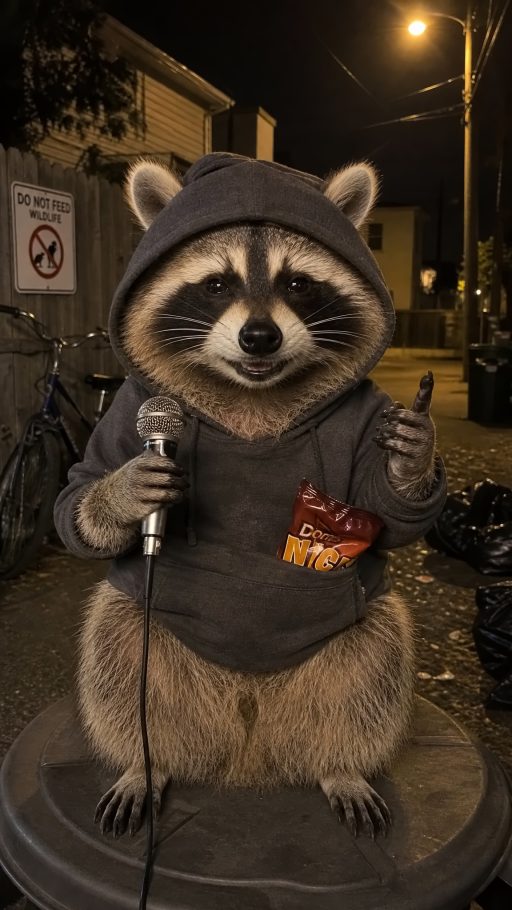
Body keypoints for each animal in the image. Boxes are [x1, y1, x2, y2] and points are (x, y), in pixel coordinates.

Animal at [54, 154, 446, 840]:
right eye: (216, 285)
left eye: (298, 285)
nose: (259, 337)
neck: (252, 390)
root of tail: (248, 742)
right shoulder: (130, 409)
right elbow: (77, 493)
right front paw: (121, 491)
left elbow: (386, 516)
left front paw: (410, 460)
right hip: (149, 645)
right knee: (117, 653)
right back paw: (145, 763)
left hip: (349, 656)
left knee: (375, 664)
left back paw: (341, 763)